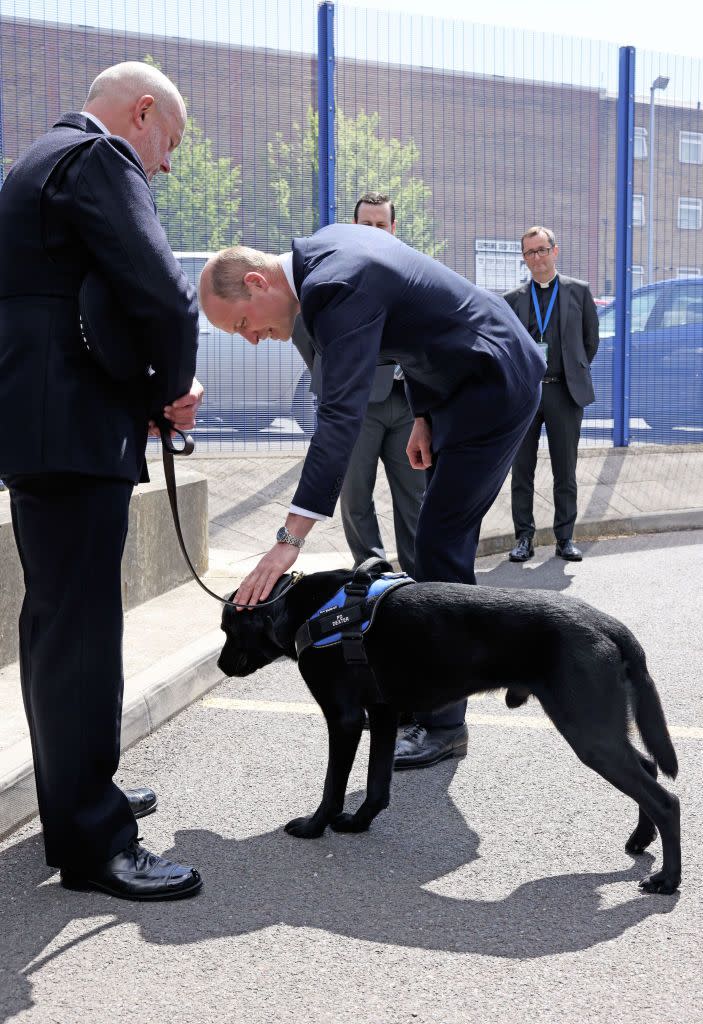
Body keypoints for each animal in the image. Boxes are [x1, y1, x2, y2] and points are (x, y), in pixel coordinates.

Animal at [216, 565, 679, 892]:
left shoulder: (345, 718)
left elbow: (332, 787)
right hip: (600, 728)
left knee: (666, 799)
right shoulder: (381, 713)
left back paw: (667, 880)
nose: (219, 665)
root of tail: (609, 625)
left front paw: (314, 828)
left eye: (227, 629)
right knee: (648, 769)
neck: (306, 607)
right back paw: (641, 839)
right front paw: (360, 822)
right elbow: (377, 783)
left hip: (588, 732)